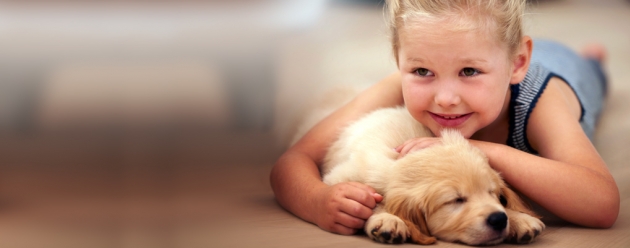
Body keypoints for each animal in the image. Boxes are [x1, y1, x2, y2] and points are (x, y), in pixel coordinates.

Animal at [324, 107, 544, 246]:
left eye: (493, 193)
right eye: (456, 200)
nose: (499, 219)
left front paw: (518, 218)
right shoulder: (343, 175)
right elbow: (373, 199)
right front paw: (387, 219)